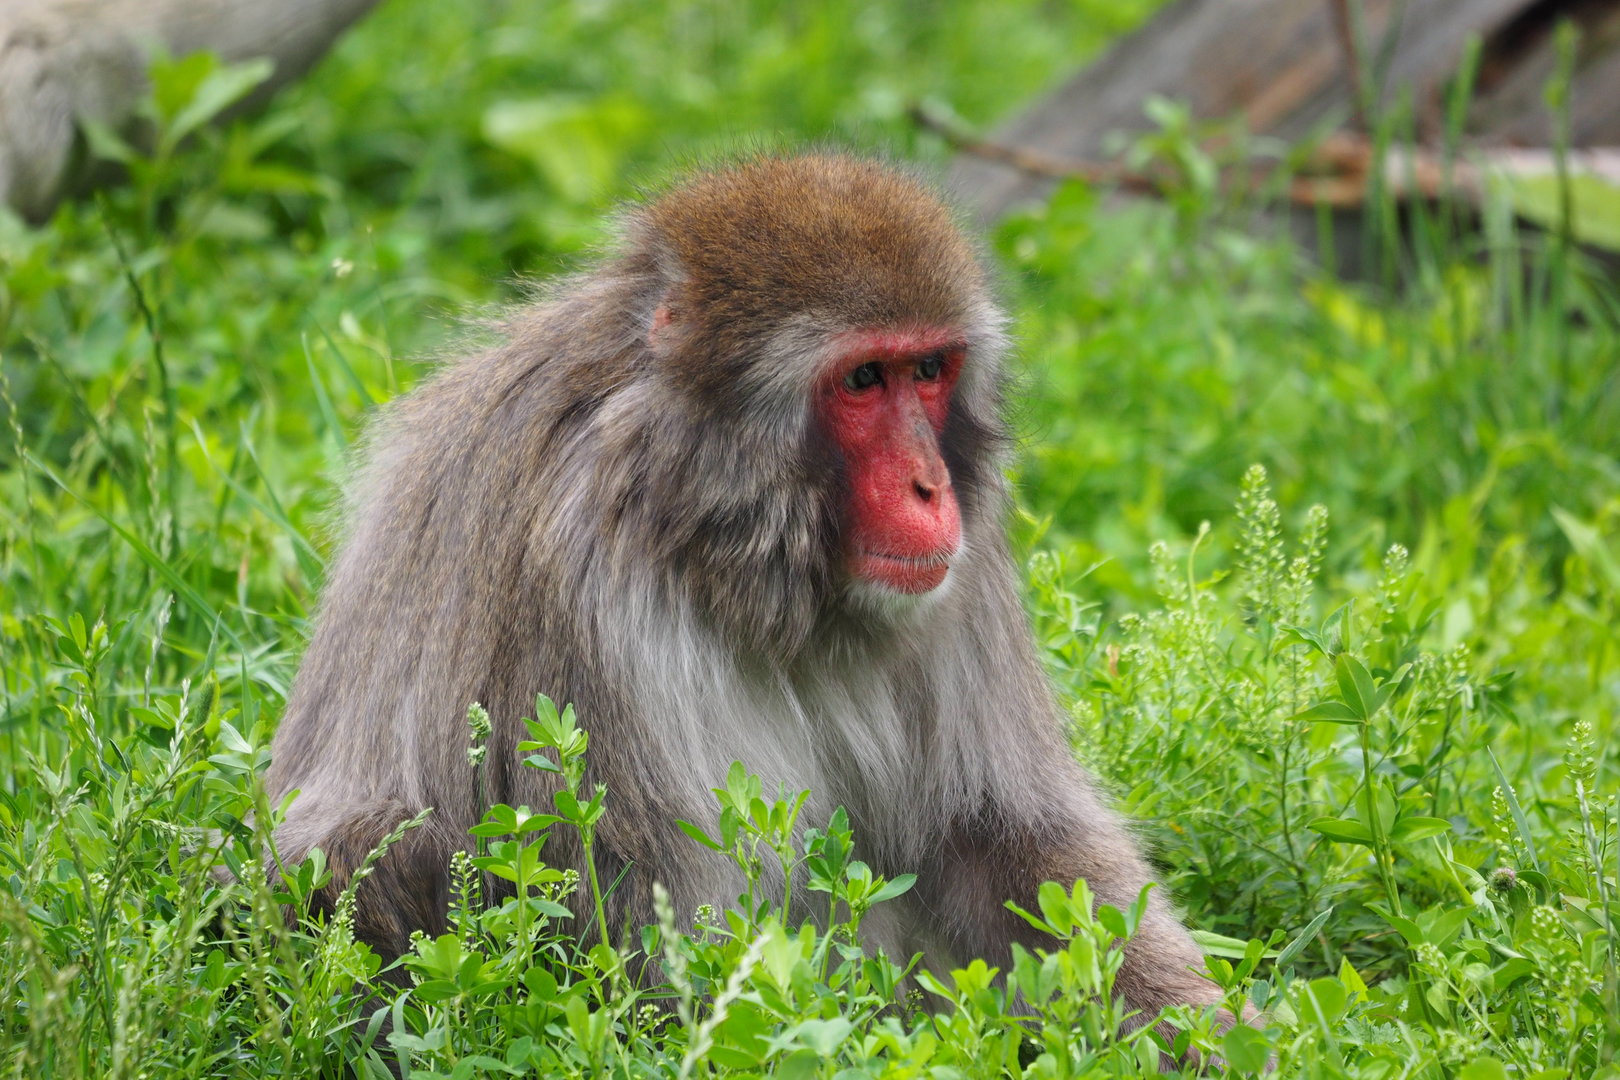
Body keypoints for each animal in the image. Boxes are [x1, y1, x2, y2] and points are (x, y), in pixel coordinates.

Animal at [266, 153, 1238, 1045]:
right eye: (863, 380)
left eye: (928, 368)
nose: (930, 487)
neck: (715, 537)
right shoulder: (575, 572)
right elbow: (661, 945)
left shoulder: (965, 565)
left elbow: (1006, 836)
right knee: (383, 849)